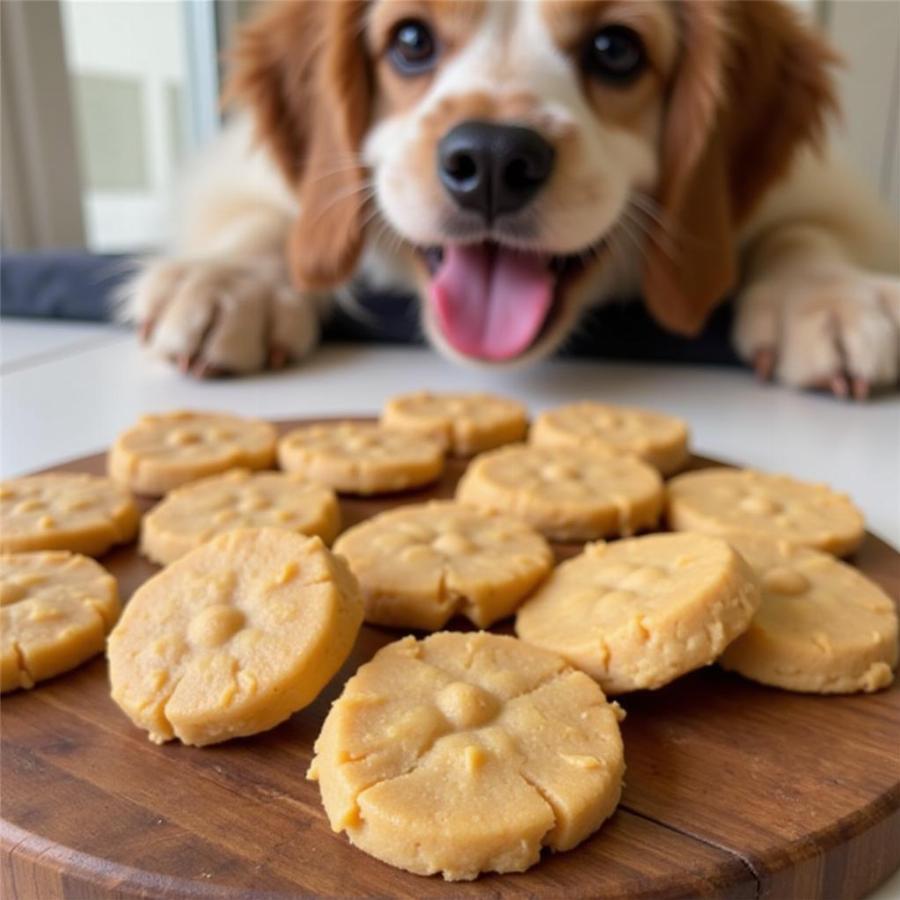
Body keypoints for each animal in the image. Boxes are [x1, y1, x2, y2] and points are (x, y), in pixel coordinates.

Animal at [126, 0, 900, 398]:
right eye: (411, 39)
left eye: (616, 49)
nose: (493, 160)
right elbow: (274, 219)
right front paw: (229, 282)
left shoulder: (824, 188)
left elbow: (801, 231)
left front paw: (828, 299)